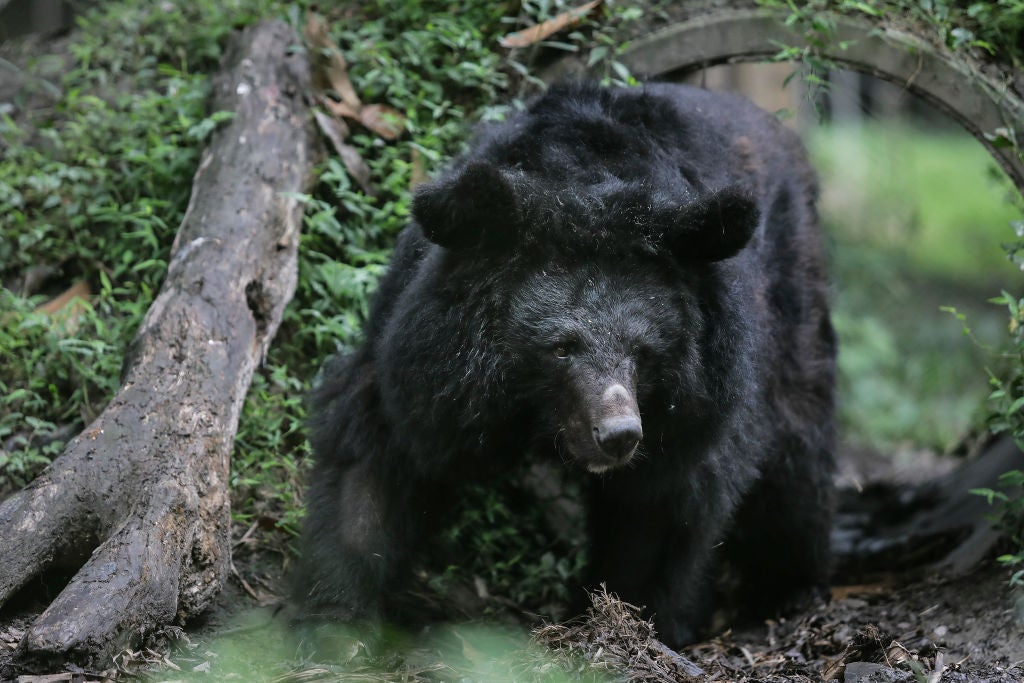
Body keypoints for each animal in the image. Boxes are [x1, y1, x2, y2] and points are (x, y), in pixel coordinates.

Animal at [294, 80, 831, 647]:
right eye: (560, 347)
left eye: (644, 352)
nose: (619, 435)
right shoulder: (421, 354)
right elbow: (375, 457)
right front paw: (333, 621)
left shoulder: (696, 397)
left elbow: (663, 503)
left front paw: (635, 620)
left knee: (797, 443)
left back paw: (788, 586)